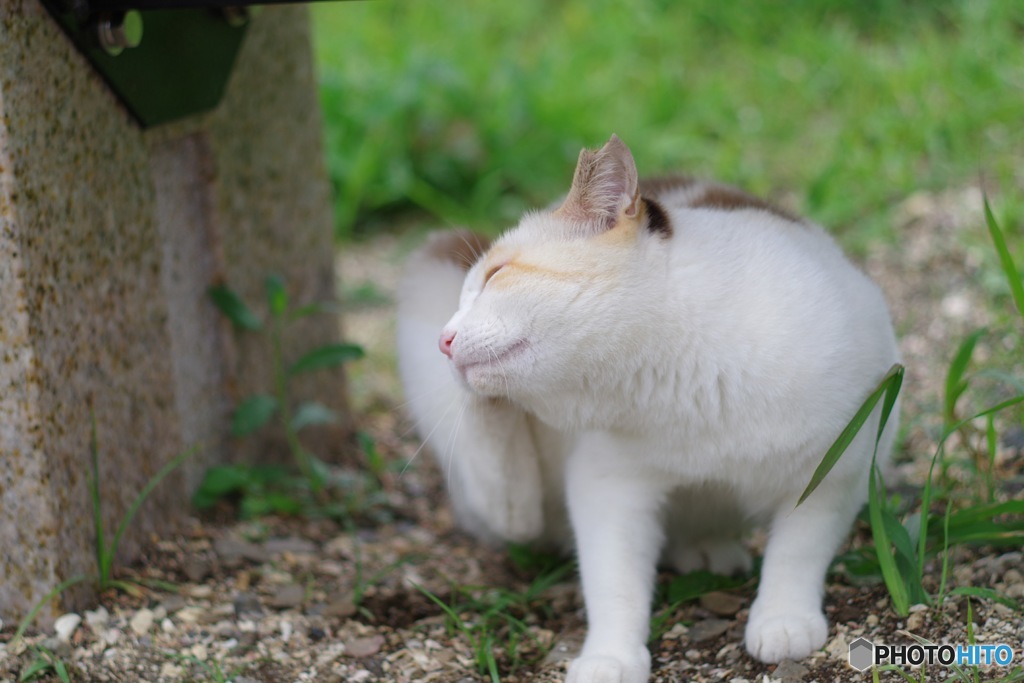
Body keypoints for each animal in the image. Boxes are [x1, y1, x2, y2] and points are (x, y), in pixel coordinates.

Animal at [395, 136, 901, 679]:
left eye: (494, 276)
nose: (444, 340)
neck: (687, 382)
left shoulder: (836, 469)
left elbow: (796, 554)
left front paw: (784, 620)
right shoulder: (608, 488)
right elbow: (614, 584)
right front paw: (610, 657)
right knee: (510, 498)